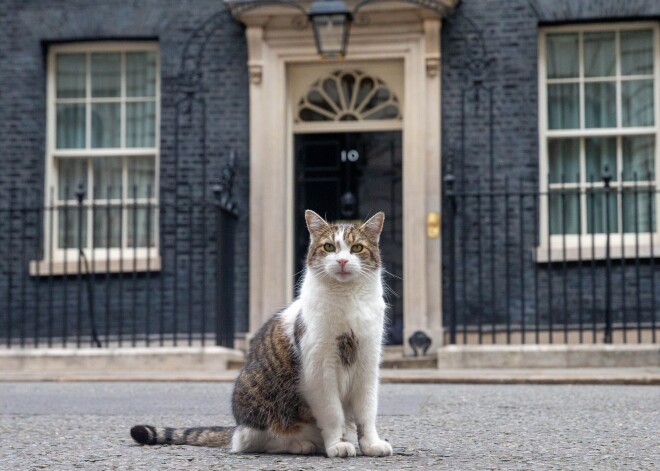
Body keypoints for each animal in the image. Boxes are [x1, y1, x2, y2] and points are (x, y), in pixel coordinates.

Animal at [131, 210, 394, 458]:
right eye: (329, 247)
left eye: (357, 248)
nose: (342, 261)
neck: (348, 300)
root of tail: (236, 427)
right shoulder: (320, 370)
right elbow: (332, 413)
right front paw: (338, 444)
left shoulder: (367, 365)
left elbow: (366, 412)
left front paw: (370, 444)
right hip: (257, 399)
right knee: (254, 441)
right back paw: (300, 444)